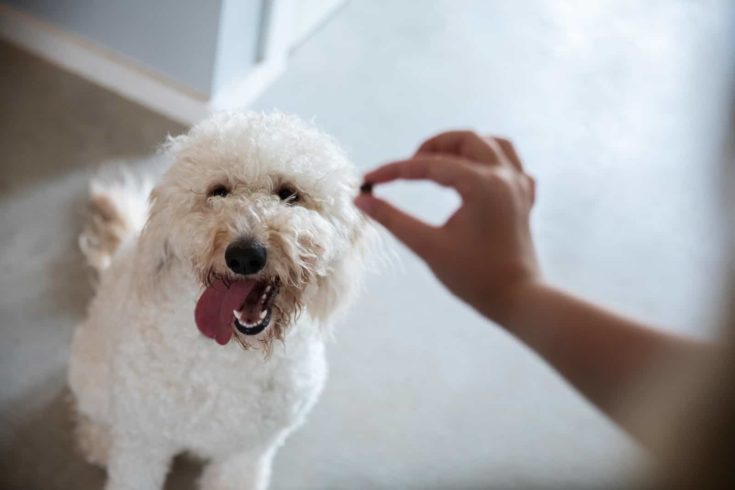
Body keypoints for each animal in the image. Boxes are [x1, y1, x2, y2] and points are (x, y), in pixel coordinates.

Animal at [68, 112, 374, 490]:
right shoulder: (143, 440)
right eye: (218, 191)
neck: (227, 356)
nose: (244, 255)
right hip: (92, 376)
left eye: (289, 194)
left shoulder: (246, 453)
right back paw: (99, 440)